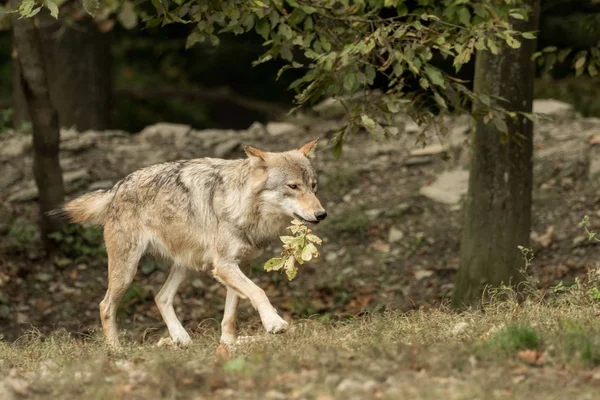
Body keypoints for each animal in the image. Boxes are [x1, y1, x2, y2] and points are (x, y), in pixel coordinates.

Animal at [61, 139, 326, 346]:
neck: (243, 208)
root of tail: (117, 186)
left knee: (160, 297)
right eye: (293, 186)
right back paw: (116, 351)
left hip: (185, 265)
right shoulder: (224, 266)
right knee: (105, 306)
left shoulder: (239, 266)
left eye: (313, 186)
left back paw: (180, 338)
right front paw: (274, 323)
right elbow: (258, 292)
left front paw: (228, 345)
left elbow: (231, 313)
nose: (322, 214)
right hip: (127, 272)